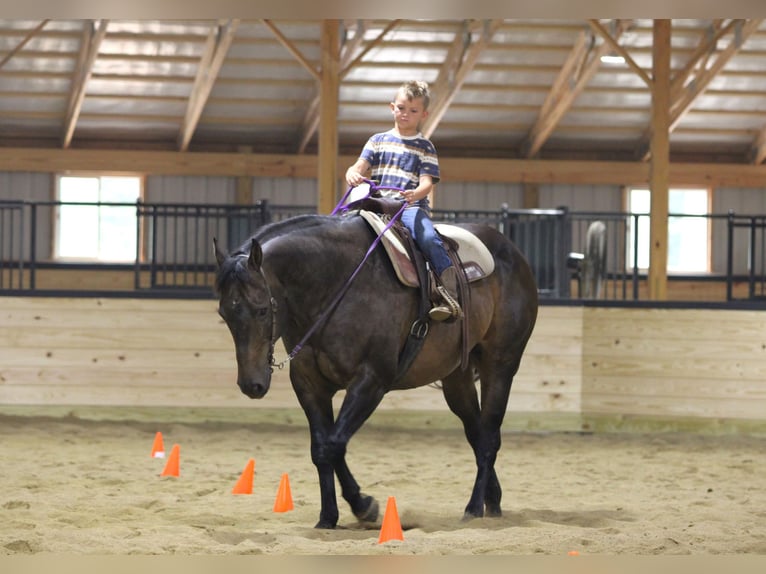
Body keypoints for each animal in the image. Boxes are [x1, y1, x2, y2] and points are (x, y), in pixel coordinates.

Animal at [213, 212, 538, 529]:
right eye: (224, 314)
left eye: (262, 310)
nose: (251, 384)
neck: (335, 286)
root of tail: (513, 253)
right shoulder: (309, 384)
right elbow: (322, 448)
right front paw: (328, 517)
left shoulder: (371, 382)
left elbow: (333, 444)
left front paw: (363, 506)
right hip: (456, 377)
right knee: (477, 433)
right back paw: (491, 501)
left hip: (501, 365)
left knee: (490, 435)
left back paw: (473, 508)